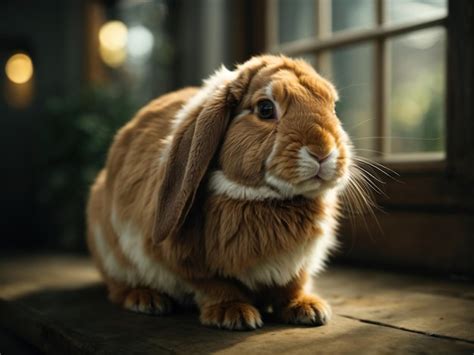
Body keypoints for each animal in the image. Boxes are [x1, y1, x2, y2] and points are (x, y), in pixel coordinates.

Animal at [87, 55, 358, 330]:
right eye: (265, 109)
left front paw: (309, 309)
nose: (323, 151)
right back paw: (146, 299)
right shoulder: (193, 267)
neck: (271, 197)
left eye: (333, 107)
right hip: (111, 251)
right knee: (117, 286)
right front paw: (233, 314)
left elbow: (292, 286)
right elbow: (217, 286)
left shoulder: (297, 267)